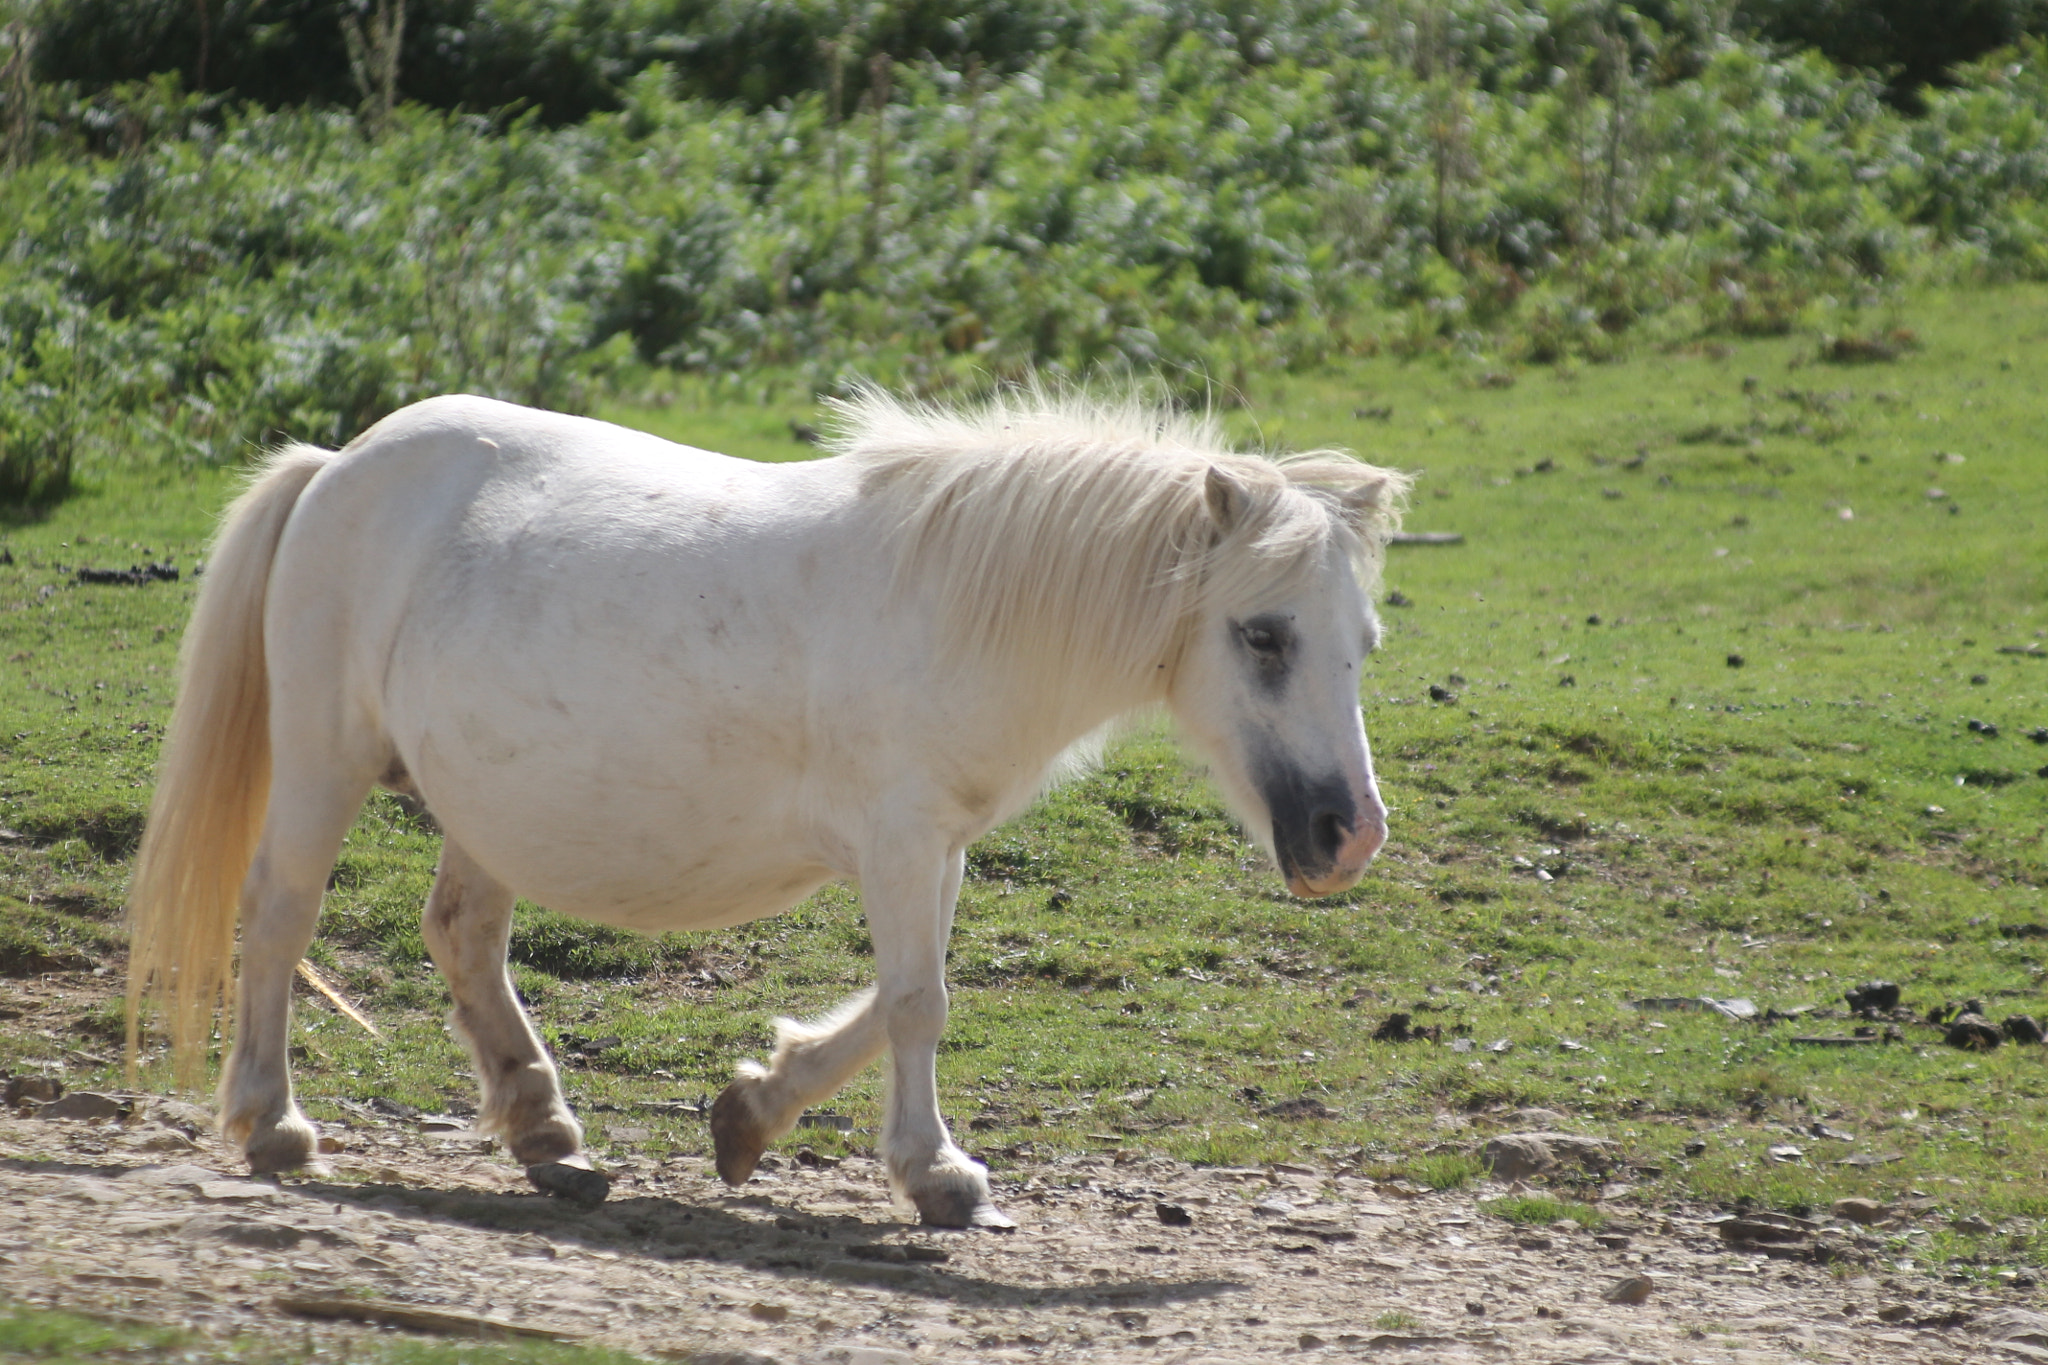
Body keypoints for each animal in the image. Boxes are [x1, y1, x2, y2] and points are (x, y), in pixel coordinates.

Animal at [123, 386, 1409, 1227]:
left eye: (1362, 642)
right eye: (1261, 635)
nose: (1348, 838)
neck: (955, 603)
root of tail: (337, 463)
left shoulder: (933, 846)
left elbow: (896, 1001)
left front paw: (749, 1113)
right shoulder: (899, 841)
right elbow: (918, 1004)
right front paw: (934, 1175)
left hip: (485, 807)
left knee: (464, 939)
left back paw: (547, 1137)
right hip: (323, 762)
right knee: (279, 917)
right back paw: (274, 1125)